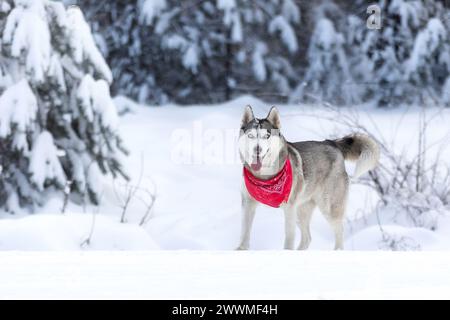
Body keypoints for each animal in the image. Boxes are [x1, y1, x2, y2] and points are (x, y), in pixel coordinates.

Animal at [237, 105, 378, 250]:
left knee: (339, 234)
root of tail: (332, 143)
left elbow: (289, 240)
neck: (264, 177)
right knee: (307, 238)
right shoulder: (248, 204)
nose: (257, 150)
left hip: (328, 208)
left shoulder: (289, 209)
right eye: (250, 136)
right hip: (301, 211)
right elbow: (244, 234)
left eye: (267, 136)